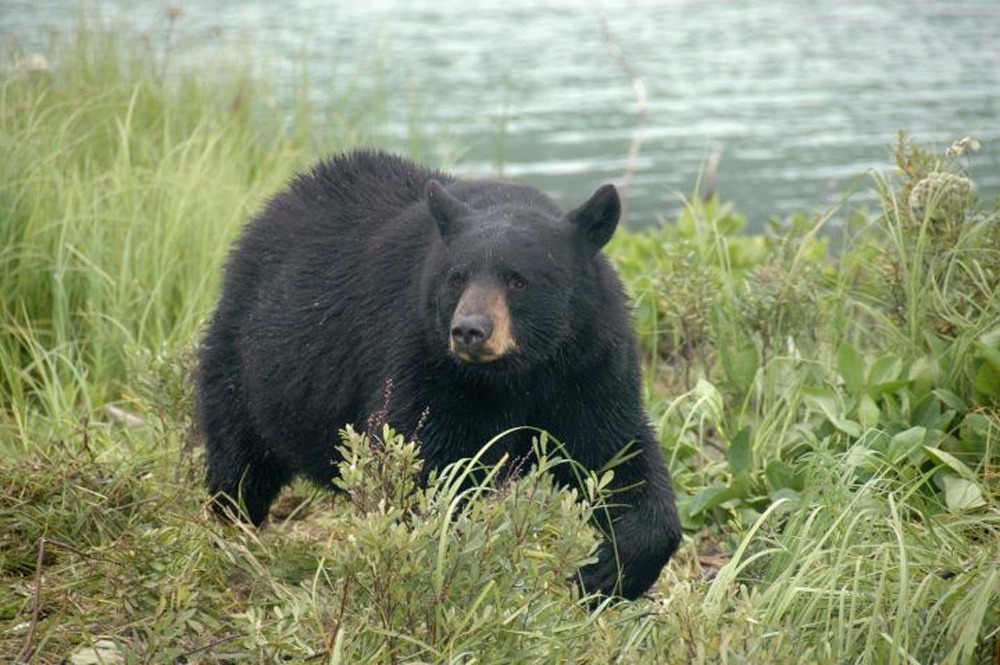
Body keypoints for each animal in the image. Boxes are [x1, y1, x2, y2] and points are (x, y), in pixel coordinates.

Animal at [197, 153, 680, 600]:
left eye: (518, 280)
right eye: (457, 277)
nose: (469, 330)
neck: (519, 372)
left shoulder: (586, 365)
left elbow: (617, 451)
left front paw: (606, 573)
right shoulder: (427, 361)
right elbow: (423, 461)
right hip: (249, 359)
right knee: (240, 458)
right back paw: (231, 532)